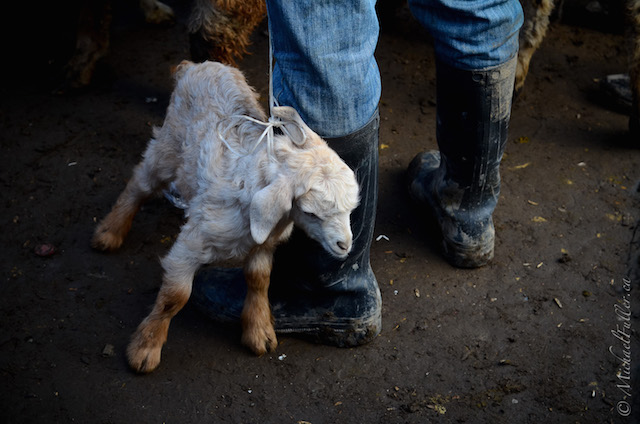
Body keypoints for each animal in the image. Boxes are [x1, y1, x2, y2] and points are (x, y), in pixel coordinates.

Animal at [90, 58, 360, 372]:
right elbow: (174, 296)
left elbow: (259, 280)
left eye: (350, 209)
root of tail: (197, 66)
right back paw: (109, 232)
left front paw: (259, 332)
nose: (345, 245)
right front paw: (145, 350)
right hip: (168, 146)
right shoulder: (192, 242)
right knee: (139, 184)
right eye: (310, 212)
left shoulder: (263, 242)